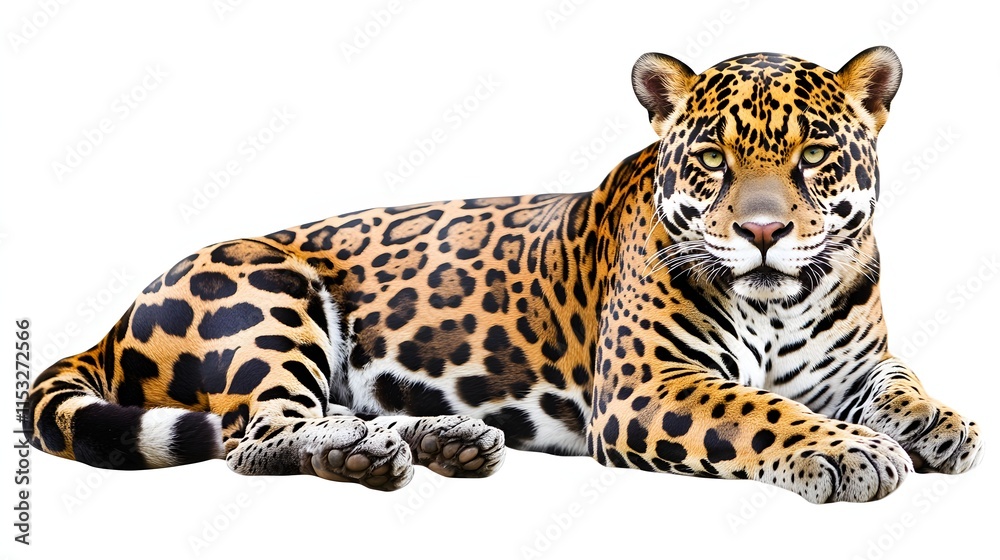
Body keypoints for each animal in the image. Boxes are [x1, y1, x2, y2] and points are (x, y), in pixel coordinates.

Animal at [24, 46, 983, 503]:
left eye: (814, 155)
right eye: (713, 159)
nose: (762, 232)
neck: (782, 306)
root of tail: (116, 317)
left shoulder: (854, 364)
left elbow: (898, 381)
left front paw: (943, 425)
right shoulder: (648, 386)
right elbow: (760, 411)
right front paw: (849, 452)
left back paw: (443, 441)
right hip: (270, 297)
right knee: (256, 436)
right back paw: (362, 455)